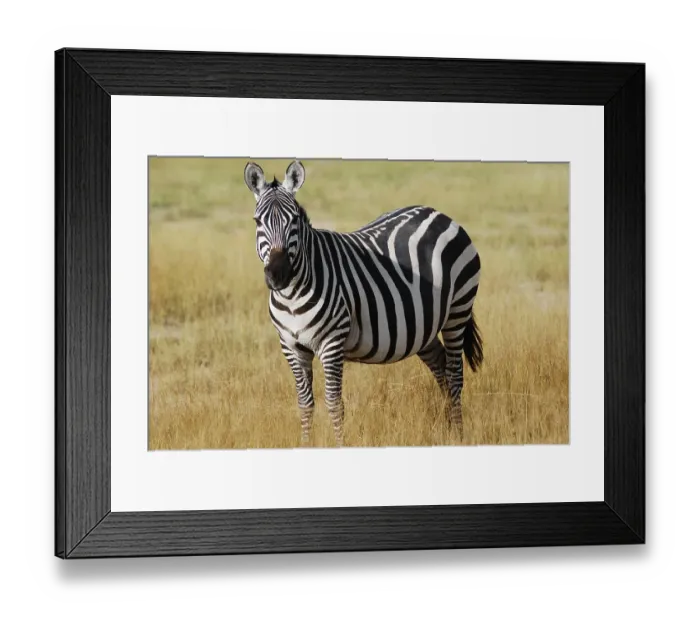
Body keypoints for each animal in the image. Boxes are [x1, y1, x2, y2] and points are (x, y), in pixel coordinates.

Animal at [245, 160, 482, 447]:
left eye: (295, 220)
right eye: (258, 221)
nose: (278, 274)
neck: (291, 295)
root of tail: (439, 214)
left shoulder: (332, 344)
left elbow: (335, 404)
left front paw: (340, 445)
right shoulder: (291, 346)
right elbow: (304, 403)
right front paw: (305, 444)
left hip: (458, 311)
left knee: (455, 375)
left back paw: (458, 435)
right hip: (422, 325)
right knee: (441, 366)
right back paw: (447, 430)